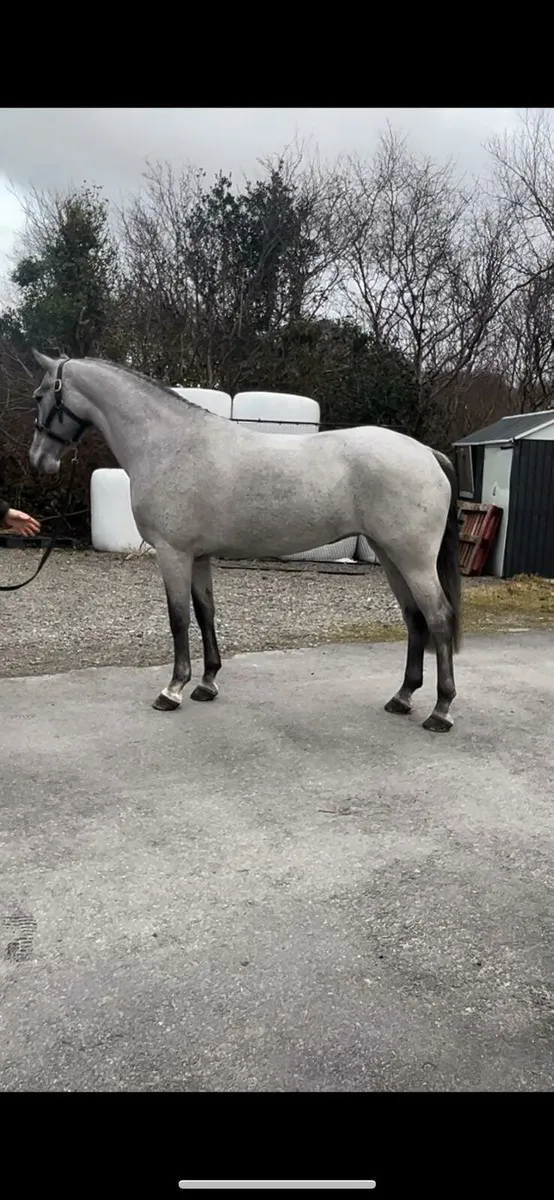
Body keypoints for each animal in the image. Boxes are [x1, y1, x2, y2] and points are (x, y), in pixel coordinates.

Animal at [29, 351, 461, 732]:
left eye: (40, 395)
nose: (38, 460)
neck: (170, 444)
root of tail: (427, 453)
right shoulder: (199, 556)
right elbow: (205, 613)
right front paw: (207, 684)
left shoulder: (173, 554)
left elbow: (178, 618)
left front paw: (173, 690)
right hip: (390, 556)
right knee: (414, 618)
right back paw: (402, 697)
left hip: (414, 560)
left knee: (439, 618)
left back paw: (440, 711)